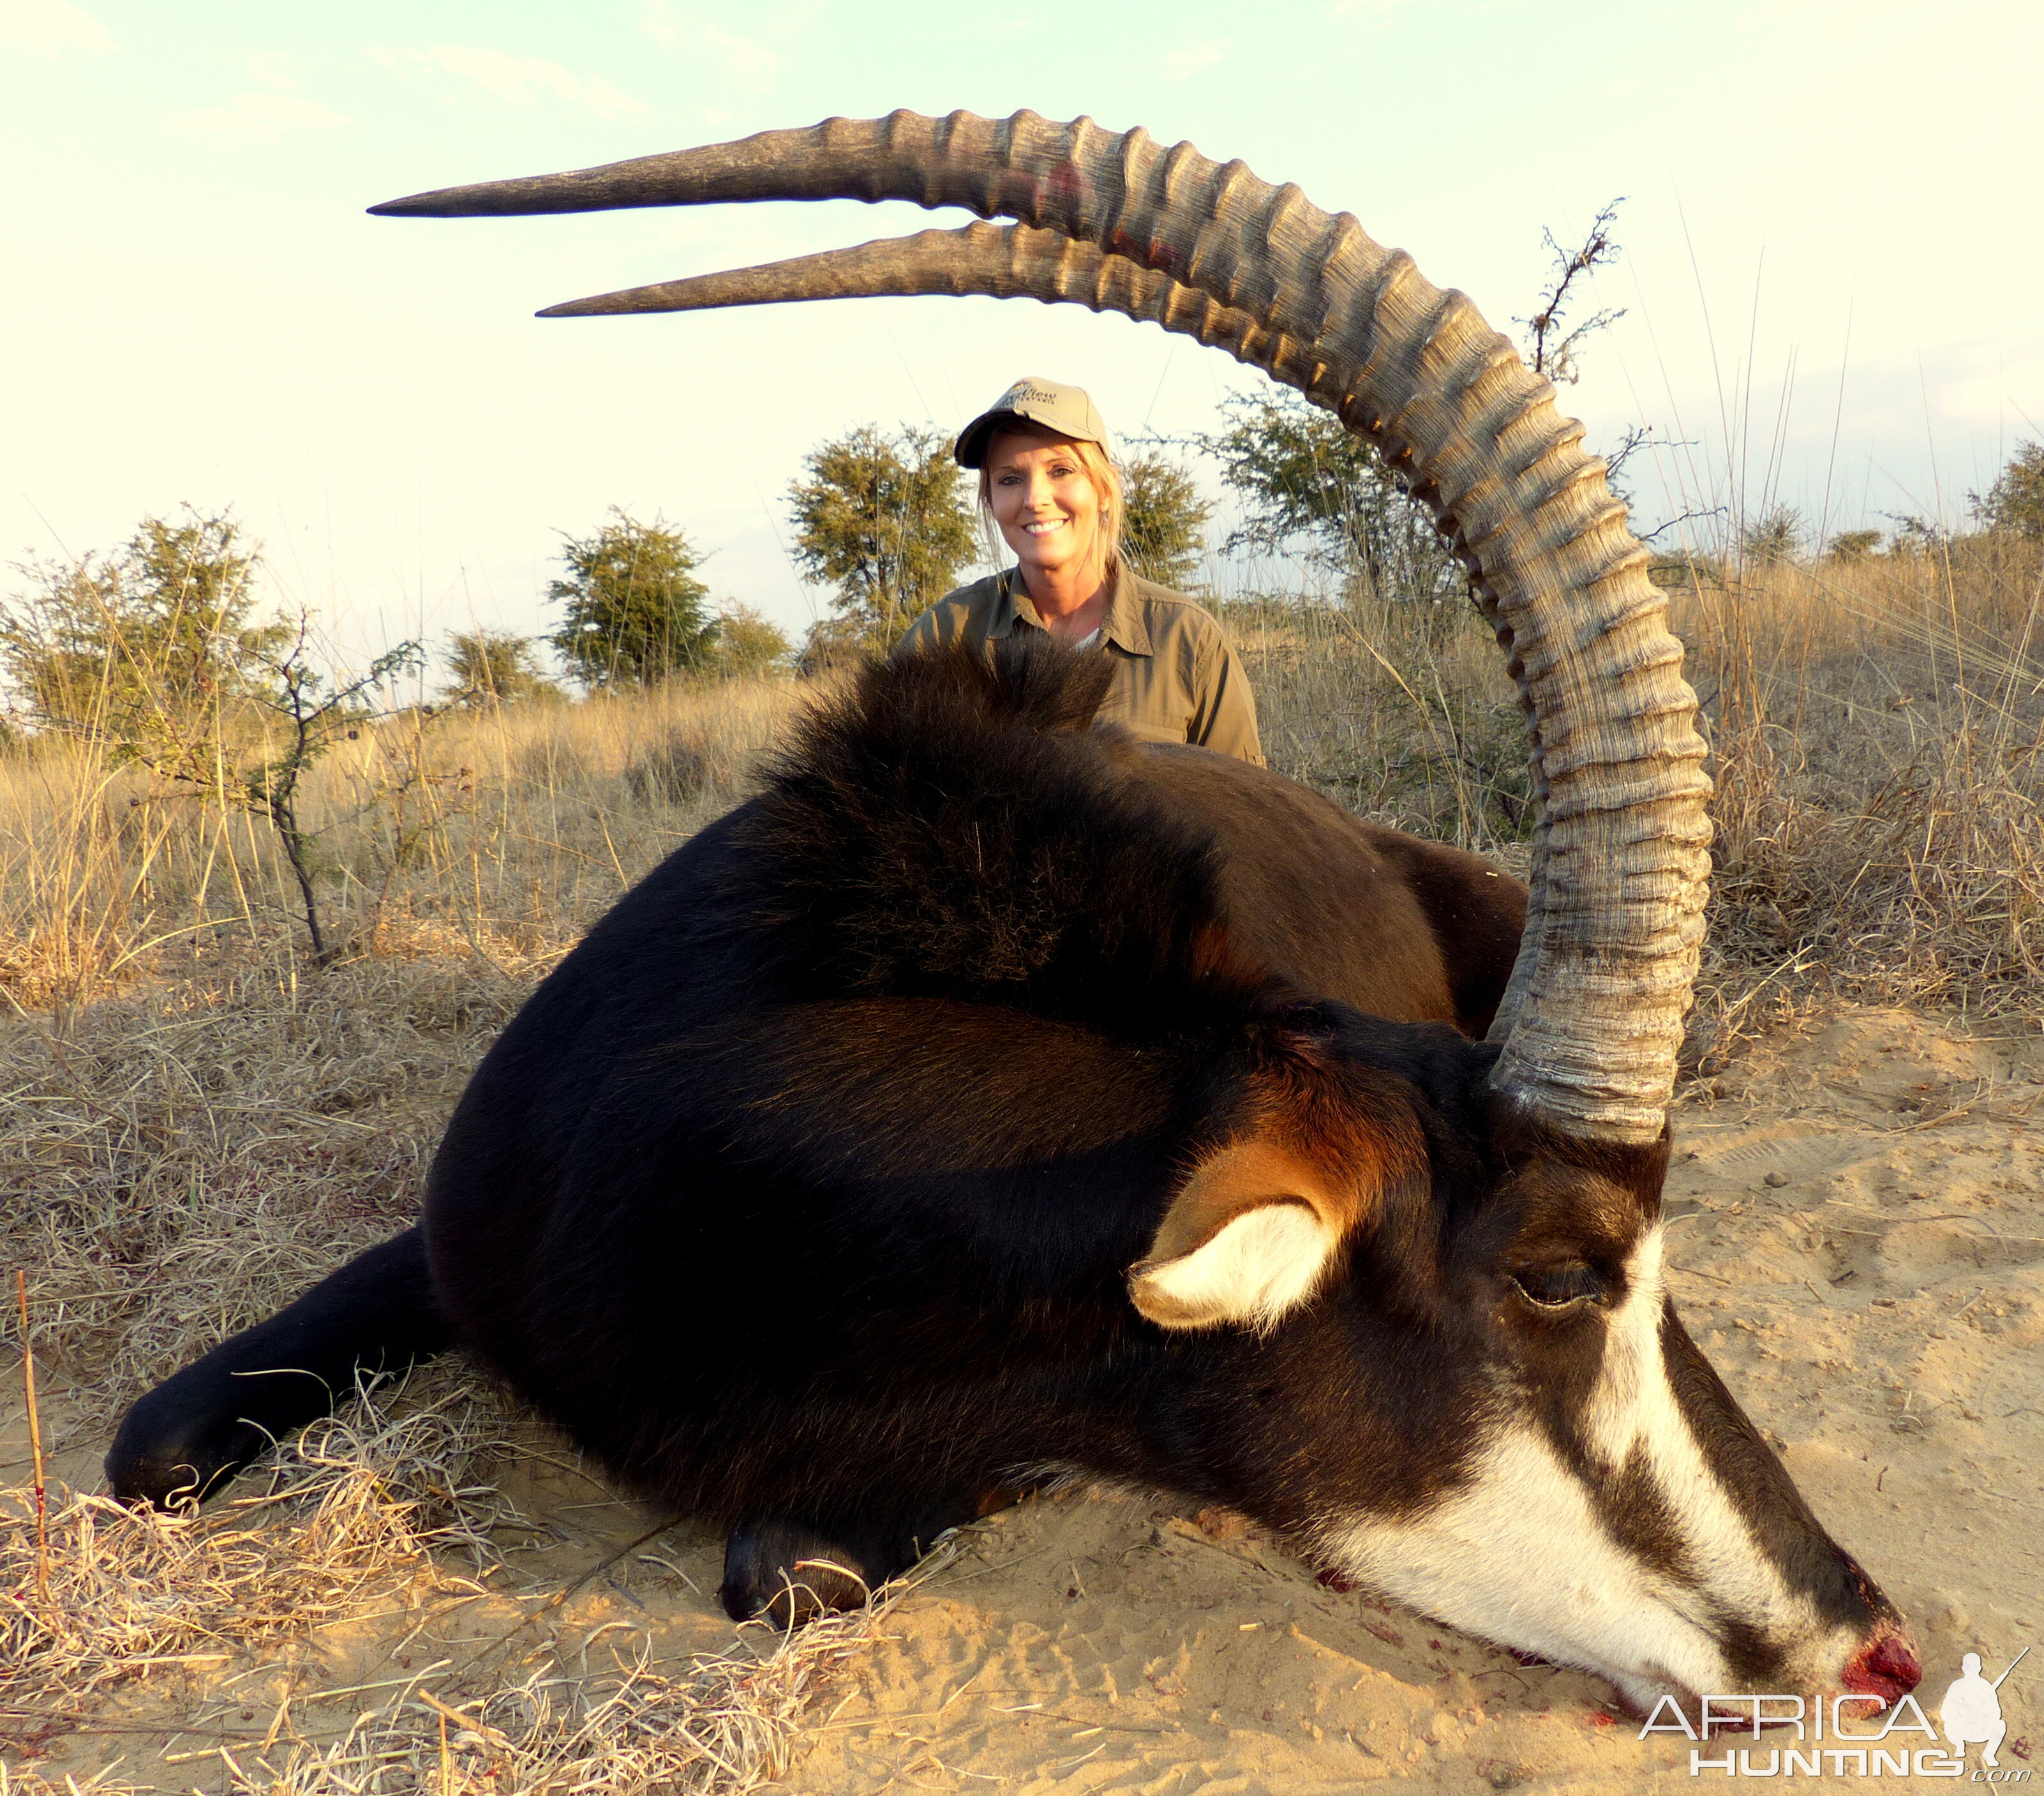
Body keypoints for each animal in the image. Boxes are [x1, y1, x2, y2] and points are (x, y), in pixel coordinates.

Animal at [103, 112, 1921, 1716]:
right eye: (1557, 1276)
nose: (1869, 1646)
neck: (719, 1150)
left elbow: (801, 1561)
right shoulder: (443, 1254)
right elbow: (151, 1451)